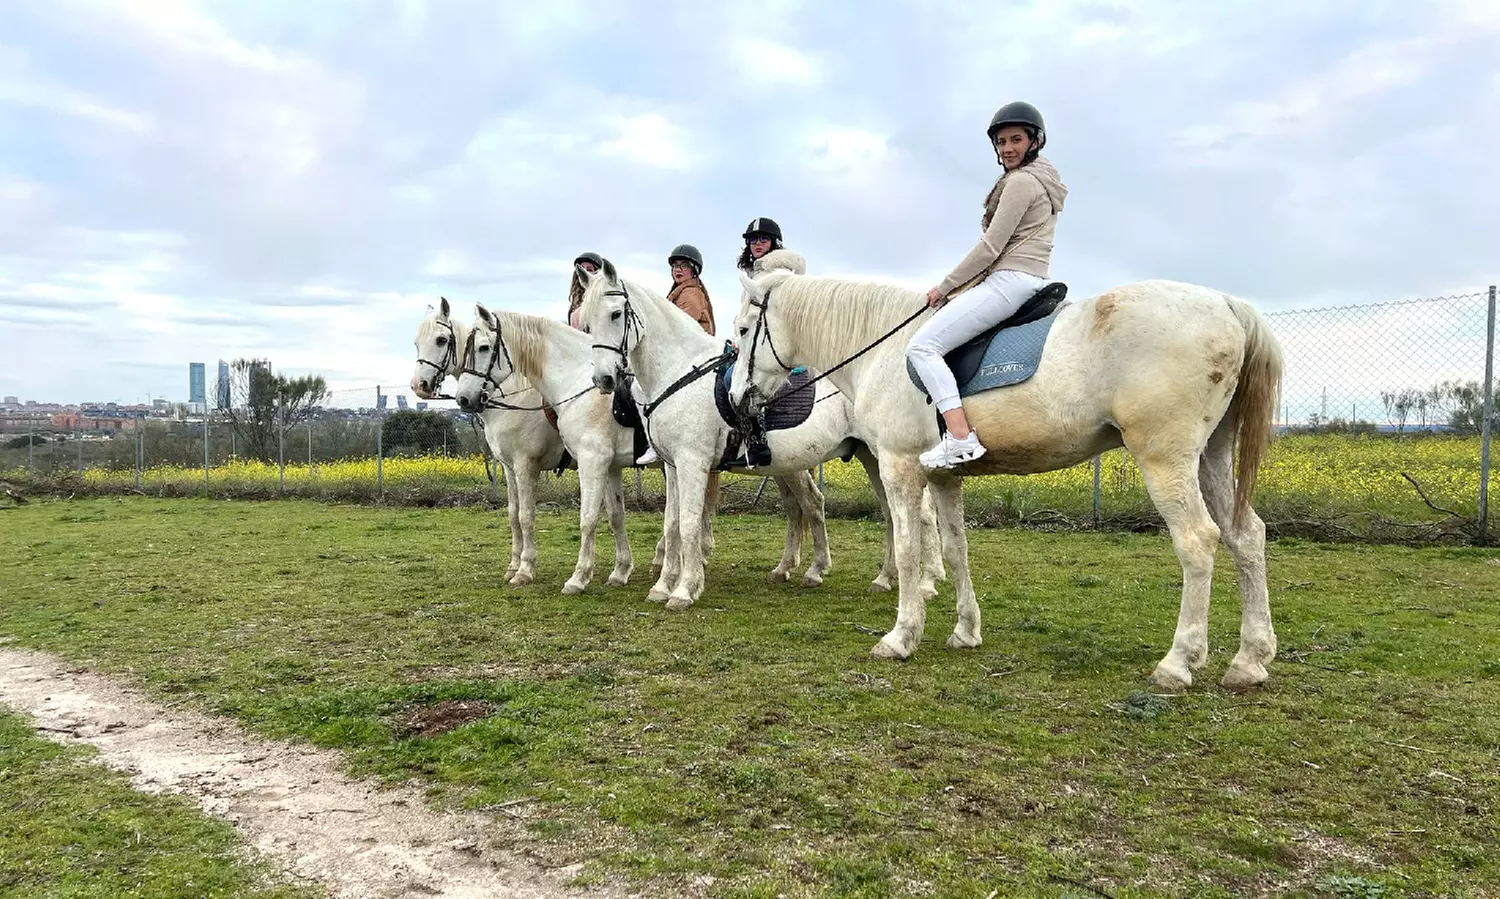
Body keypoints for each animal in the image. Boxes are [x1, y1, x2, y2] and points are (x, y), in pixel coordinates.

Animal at [410, 298, 566, 586]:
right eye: (416, 343)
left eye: (440, 340)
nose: (419, 386)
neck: (512, 398)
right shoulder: (509, 467)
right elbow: (514, 515)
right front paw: (513, 566)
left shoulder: (526, 465)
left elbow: (526, 516)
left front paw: (525, 569)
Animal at [454, 301, 869, 592]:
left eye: (484, 347)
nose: (464, 399)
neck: (576, 384)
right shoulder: (605, 466)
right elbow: (614, 516)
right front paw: (620, 571)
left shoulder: (571, 462)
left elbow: (556, 517)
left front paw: (549, 573)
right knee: (798, 507)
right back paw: (788, 567)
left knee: (811, 503)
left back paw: (814, 570)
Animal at [575, 260, 944, 612]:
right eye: (587, 323)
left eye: (615, 314)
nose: (604, 379)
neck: (680, 373)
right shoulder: (673, 466)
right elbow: (672, 524)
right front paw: (662, 586)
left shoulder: (693, 462)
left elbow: (690, 524)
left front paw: (684, 590)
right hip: (866, 456)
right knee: (885, 513)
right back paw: (879, 577)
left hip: (887, 454)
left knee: (922, 514)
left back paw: (926, 583)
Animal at [728, 272, 1284, 692]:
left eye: (743, 329)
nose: (735, 399)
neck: (884, 349)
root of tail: (1228, 304)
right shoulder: (943, 477)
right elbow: (954, 550)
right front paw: (965, 631)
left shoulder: (901, 467)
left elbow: (909, 550)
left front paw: (900, 637)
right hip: (1211, 457)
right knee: (1246, 536)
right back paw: (1250, 660)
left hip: (1165, 458)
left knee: (1198, 541)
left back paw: (1179, 661)